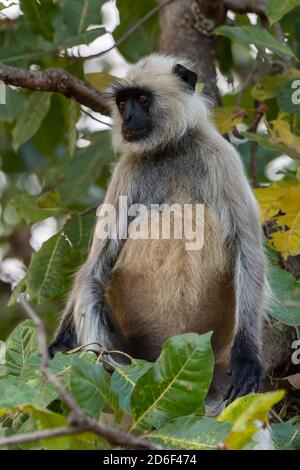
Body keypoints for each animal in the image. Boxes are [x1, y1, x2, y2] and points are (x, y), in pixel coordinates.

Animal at [48, 54, 264, 400]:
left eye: (141, 99)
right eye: (122, 102)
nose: (127, 117)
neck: (168, 149)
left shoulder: (220, 156)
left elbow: (249, 253)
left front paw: (247, 357)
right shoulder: (128, 171)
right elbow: (92, 270)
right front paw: (60, 345)